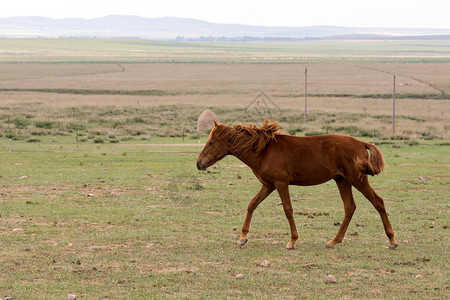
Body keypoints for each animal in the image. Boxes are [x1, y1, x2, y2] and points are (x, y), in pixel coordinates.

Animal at [197, 119, 398, 248]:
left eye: (211, 142)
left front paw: (292, 241)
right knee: (349, 207)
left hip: (357, 179)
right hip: (342, 180)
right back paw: (334, 241)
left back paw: (392, 240)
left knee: (378, 202)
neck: (264, 150)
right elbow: (252, 205)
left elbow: (288, 209)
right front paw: (242, 238)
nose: (199, 164)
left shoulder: (281, 184)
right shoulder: (268, 185)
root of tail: (360, 143)